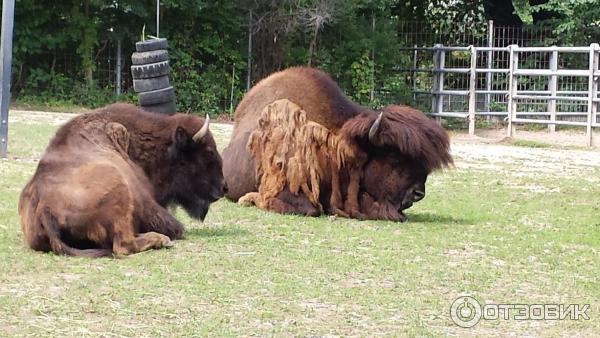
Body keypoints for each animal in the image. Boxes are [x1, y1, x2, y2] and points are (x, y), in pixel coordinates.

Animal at [17, 103, 227, 256]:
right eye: (208, 153)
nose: (224, 187)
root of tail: (44, 209)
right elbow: (176, 227)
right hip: (119, 187)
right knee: (123, 245)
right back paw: (161, 240)